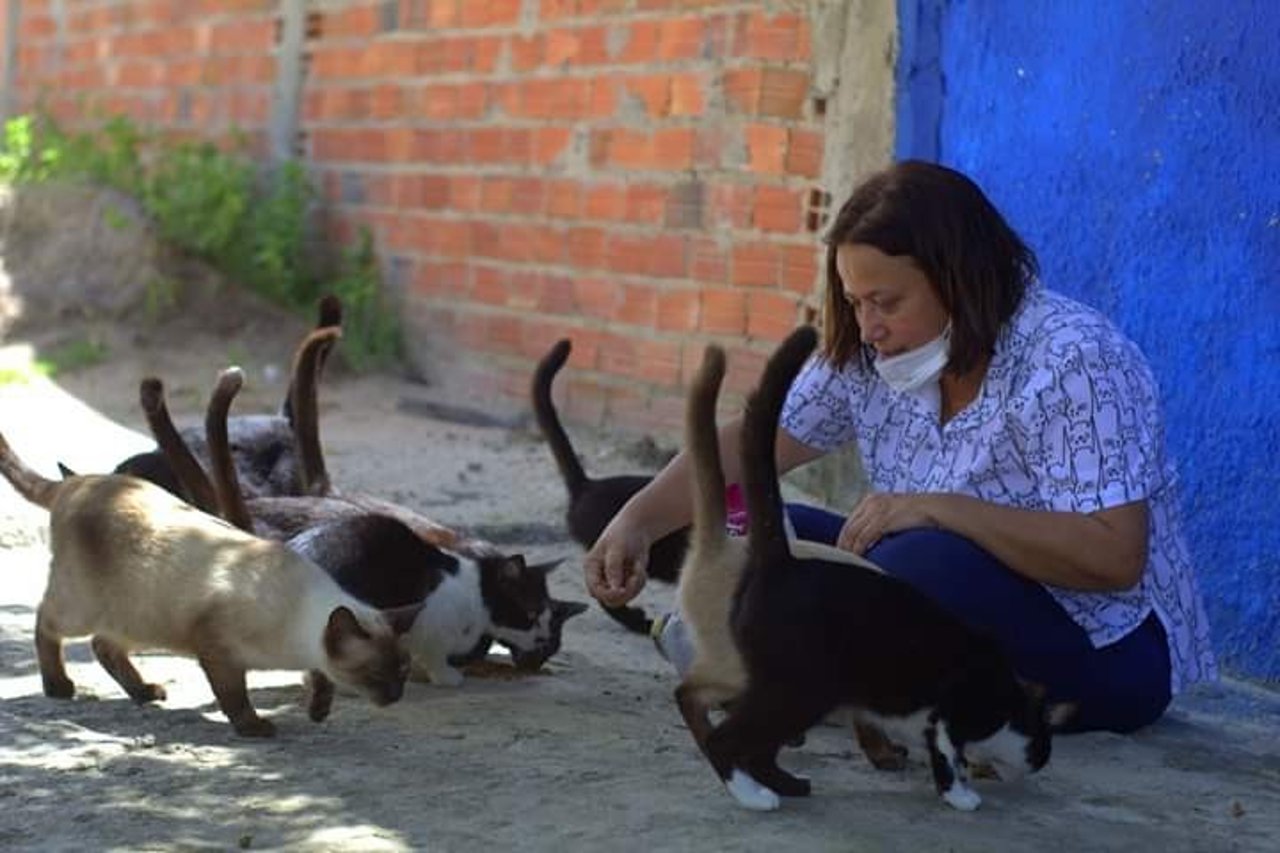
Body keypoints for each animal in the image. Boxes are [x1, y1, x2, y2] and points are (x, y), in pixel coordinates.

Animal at [0, 427, 412, 732]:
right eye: (376, 673)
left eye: (404, 670)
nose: (397, 694)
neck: (295, 635)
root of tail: (80, 481)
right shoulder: (218, 653)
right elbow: (234, 698)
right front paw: (255, 728)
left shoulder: (309, 653)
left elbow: (320, 677)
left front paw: (318, 711)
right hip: (85, 607)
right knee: (46, 623)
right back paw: (58, 687)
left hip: (140, 616)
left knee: (104, 646)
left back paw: (143, 692)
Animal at [701, 325, 1070, 809]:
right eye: (1044, 745)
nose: (1041, 763)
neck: (1007, 693)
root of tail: (782, 558)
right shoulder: (954, 709)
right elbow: (949, 754)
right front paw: (961, 796)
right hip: (802, 687)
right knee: (725, 740)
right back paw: (754, 795)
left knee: (756, 744)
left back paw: (787, 783)